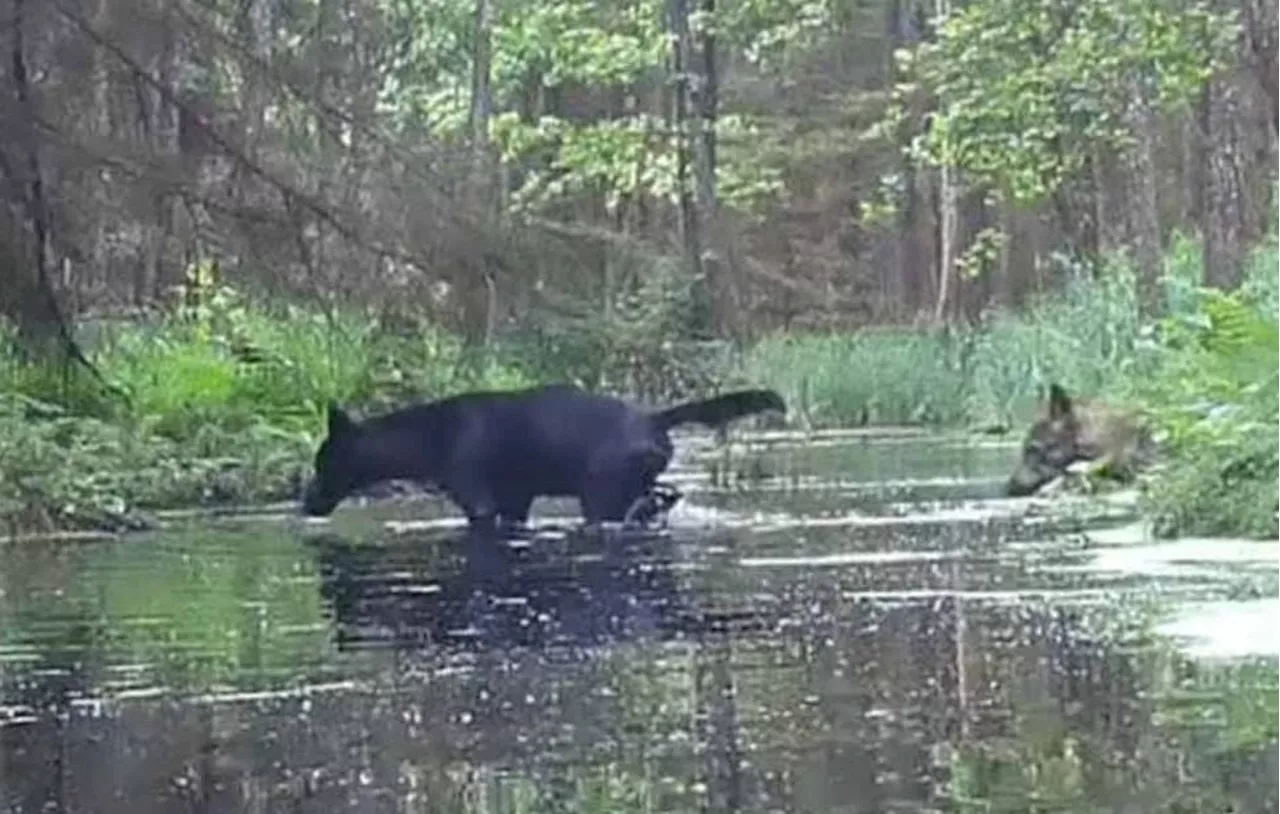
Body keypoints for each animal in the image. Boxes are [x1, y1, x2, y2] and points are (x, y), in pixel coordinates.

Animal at [300, 383, 783, 529]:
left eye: (323, 462)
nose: (304, 502)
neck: (426, 440)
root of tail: (654, 419)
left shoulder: (479, 501)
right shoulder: (515, 501)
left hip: (601, 494)